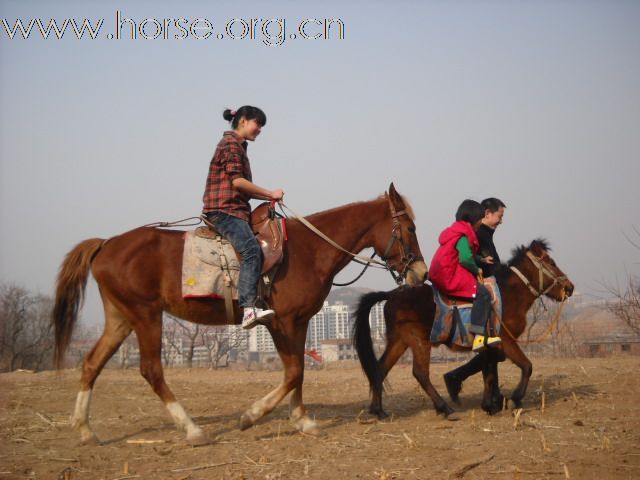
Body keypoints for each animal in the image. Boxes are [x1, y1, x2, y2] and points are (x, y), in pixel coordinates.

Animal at [52, 185, 428, 446]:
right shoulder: (279, 321)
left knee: (91, 363)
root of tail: (107, 243)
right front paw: (251, 416)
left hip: (120, 318)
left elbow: (299, 373)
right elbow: (293, 372)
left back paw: (85, 431)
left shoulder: (300, 322)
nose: (421, 273)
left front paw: (302, 420)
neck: (308, 250)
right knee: (150, 370)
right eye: (410, 228)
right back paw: (193, 430)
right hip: (146, 315)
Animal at [356, 240, 576, 420]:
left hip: (399, 341)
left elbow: (489, 371)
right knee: (420, 373)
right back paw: (444, 408)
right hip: (419, 340)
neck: (508, 295)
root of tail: (392, 294)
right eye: (551, 262)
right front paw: (515, 399)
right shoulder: (506, 341)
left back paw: (379, 410)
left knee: (380, 369)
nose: (570, 287)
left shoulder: (491, 346)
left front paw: (489, 404)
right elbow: (526, 366)